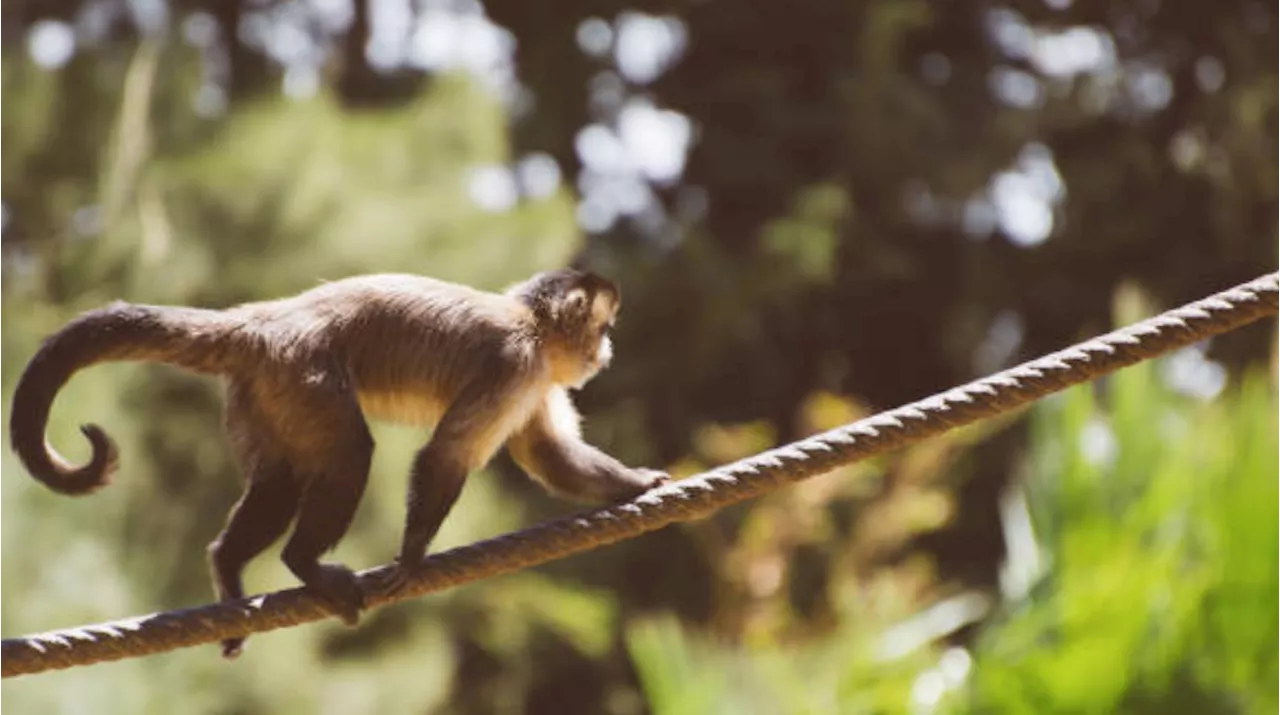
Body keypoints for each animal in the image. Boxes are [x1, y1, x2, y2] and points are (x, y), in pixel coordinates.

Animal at [7, 269, 670, 660]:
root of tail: (261, 320)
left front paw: (635, 486)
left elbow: (549, 455)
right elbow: (448, 453)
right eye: (604, 327)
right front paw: (411, 556)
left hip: (262, 389)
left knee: (277, 484)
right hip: (304, 373)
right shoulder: (517, 362)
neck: (531, 322)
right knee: (349, 455)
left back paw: (229, 567)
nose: (606, 350)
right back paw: (304, 563)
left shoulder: (539, 378)